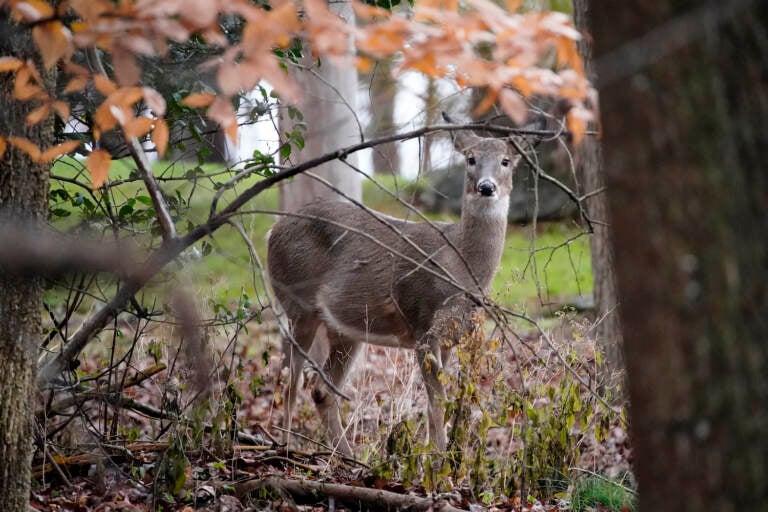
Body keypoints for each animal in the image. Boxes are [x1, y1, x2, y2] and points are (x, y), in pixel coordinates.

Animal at [268, 116, 532, 456]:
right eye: (471, 158)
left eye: (506, 161)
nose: (486, 187)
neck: (459, 269)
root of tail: (273, 228)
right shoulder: (422, 324)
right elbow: (437, 404)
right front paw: (441, 462)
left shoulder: (450, 337)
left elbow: (436, 405)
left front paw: (435, 457)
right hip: (297, 303)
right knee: (289, 382)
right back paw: (285, 446)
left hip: (346, 329)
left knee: (320, 389)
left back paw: (348, 458)